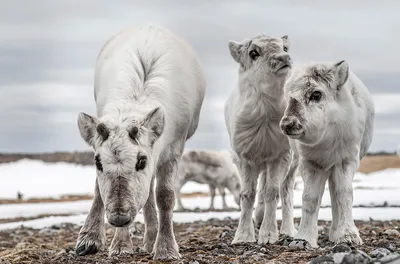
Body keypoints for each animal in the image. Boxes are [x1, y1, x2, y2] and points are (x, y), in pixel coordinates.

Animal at [75, 24, 206, 260]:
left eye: (141, 161)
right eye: (97, 162)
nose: (118, 217)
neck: (135, 100)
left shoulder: (172, 149)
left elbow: (165, 196)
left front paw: (165, 248)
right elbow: (100, 189)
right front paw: (117, 245)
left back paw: (151, 238)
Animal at [225, 34, 296, 244]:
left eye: (285, 48)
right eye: (253, 53)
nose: (284, 58)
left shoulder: (281, 156)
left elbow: (272, 191)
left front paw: (268, 235)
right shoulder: (244, 158)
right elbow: (247, 194)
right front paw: (242, 237)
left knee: (285, 192)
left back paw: (288, 230)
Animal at [282, 59, 376, 248]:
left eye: (316, 94)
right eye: (288, 96)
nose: (287, 124)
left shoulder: (346, 161)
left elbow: (344, 194)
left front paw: (348, 236)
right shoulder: (309, 164)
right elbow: (309, 198)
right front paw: (303, 239)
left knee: (335, 193)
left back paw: (335, 234)